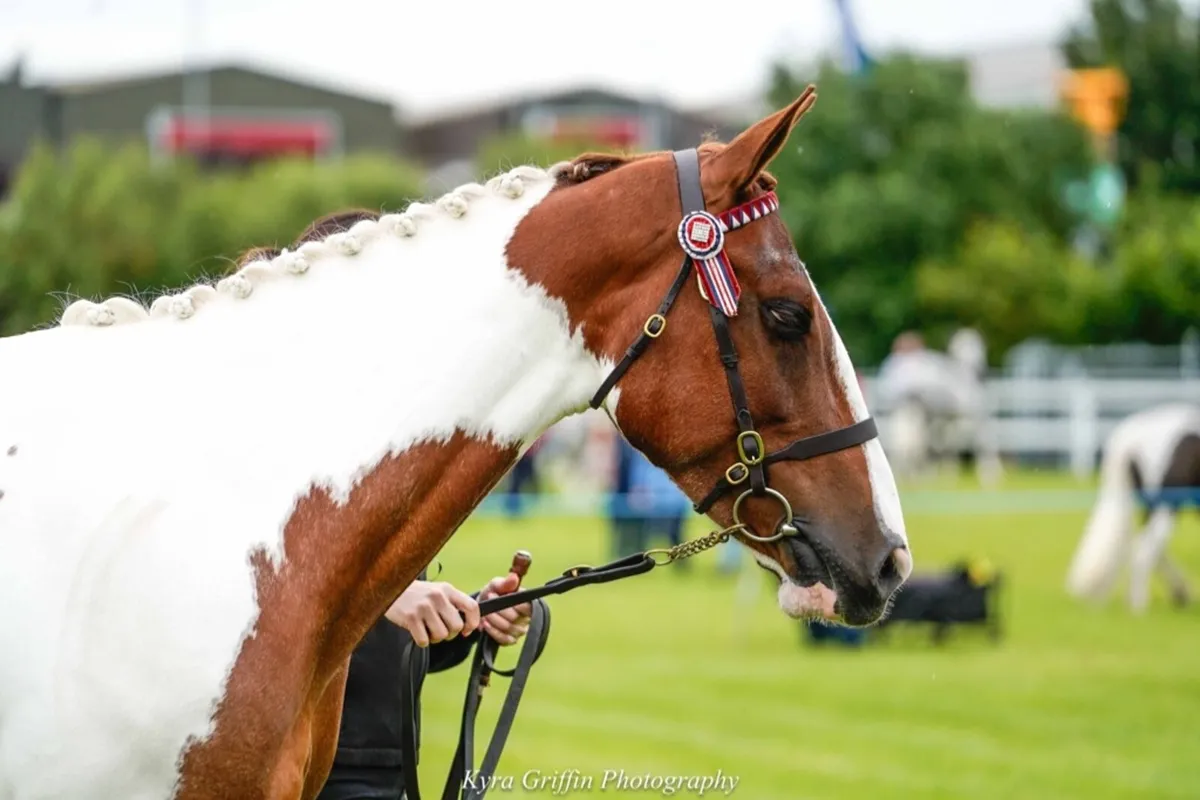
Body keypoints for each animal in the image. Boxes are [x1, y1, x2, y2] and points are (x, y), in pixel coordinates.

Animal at [1065, 402, 1200, 613]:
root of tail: (1129, 438)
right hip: (1166, 506)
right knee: (1145, 549)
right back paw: (1140, 607)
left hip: (1153, 508)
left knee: (1149, 548)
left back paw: (1177, 593)